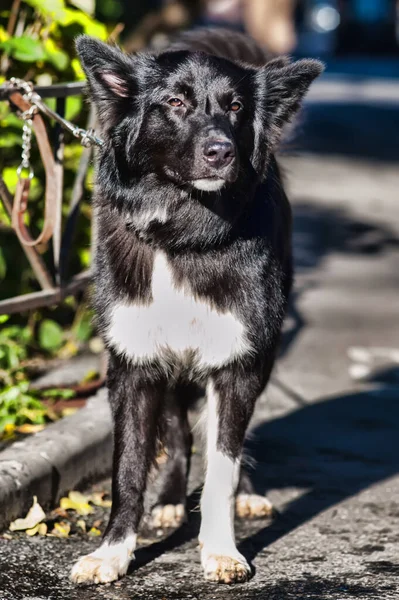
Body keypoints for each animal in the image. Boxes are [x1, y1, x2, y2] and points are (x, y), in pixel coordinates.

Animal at [70, 25, 324, 584]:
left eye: (235, 107)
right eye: (175, 102)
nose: (220, 152)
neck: (183, 234)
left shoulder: (237, 364)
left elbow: (222, 465)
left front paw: (222, 549)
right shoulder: (135, 365)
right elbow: (127, 469)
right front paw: (113, 552)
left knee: (220, 438)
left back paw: (247, 495)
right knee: (179, 432)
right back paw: (167, 498)